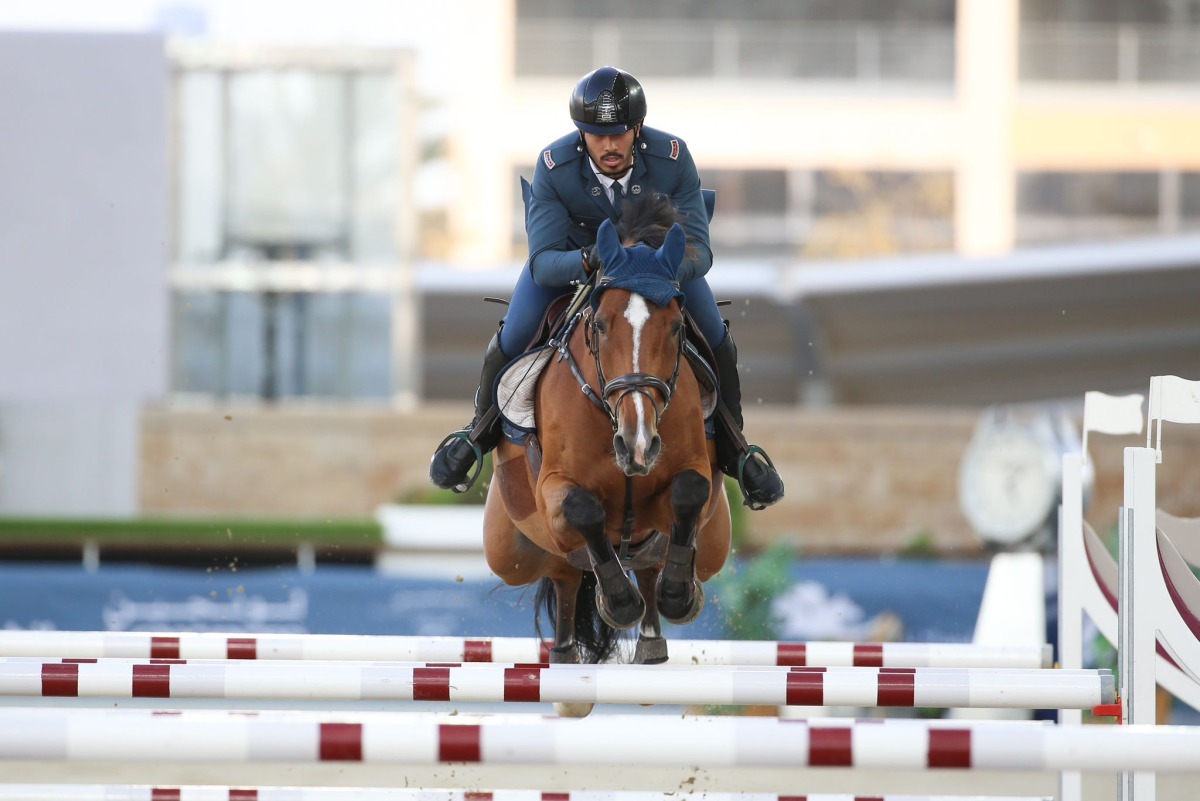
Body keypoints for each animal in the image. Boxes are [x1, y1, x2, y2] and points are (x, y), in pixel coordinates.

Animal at [480, 191, 729, 700]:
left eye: (676, 327)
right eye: (598, 325)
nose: (638, 443)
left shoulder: (693, 470)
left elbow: (688, 493)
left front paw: (677, 593)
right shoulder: (554, 488)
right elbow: (584, 509)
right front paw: (617, 600)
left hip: (715, 542)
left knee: (650, 561)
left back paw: (654, 628)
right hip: (509, 552)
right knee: (564, 573)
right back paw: (566, 648)